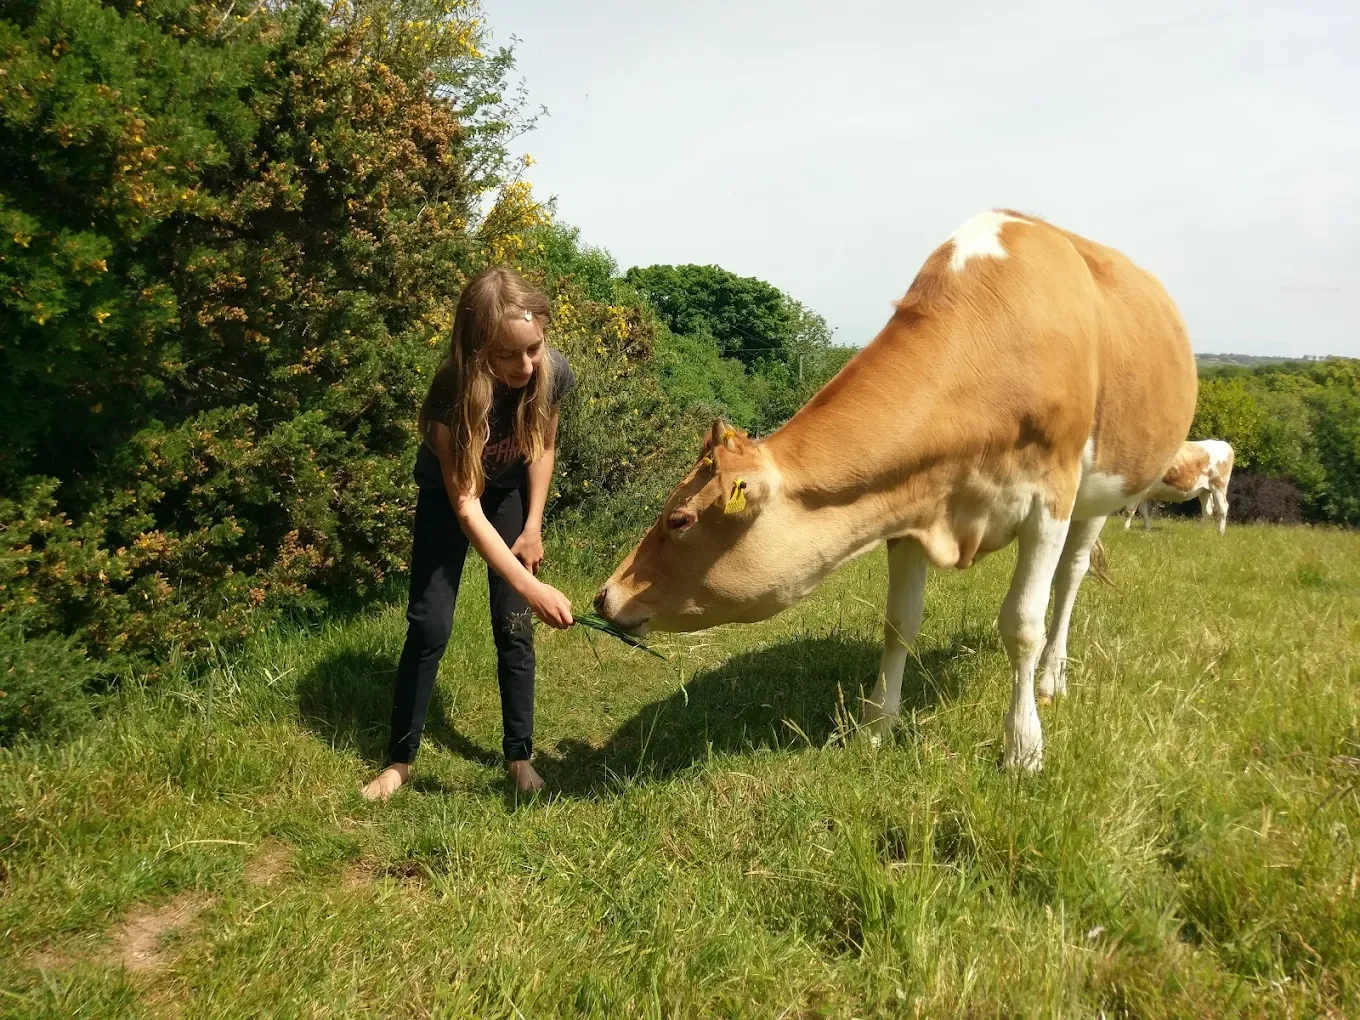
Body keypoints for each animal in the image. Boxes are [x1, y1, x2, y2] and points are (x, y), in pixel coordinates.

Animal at [594, 210, 1198, 770]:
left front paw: (1023, 747)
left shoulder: (1049, 499)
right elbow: (899, 623)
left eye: (680, 519)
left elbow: (1023, 624)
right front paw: (875, 727)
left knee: (1069, 580)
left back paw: (1052, 679)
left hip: (1101, 491)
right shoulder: (910, 507)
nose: (604, 595)